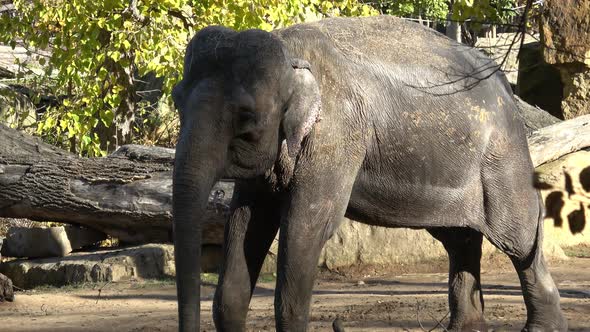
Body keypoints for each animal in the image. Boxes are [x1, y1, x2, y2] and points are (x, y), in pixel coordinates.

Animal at [172, 14, 568, 330]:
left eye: (247, 118)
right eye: (176, 100)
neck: (289, 51)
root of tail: (506, 84)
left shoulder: (337, 134)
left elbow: (307, 225)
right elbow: (244, 224)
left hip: (502, 156)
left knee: (518, 238)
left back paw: (542, 328)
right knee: (460, 240)